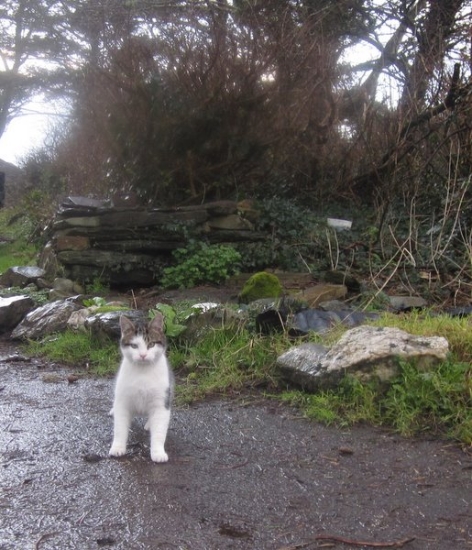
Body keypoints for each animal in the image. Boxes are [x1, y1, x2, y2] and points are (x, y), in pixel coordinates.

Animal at [109, 314, 174, 463]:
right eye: (134, 346)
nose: (143, 355)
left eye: (151, 344)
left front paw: (158, 452)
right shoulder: (123, 401)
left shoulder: (162, 402)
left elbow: (159, 430)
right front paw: (117, 447)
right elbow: (119, 428)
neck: (143, 372)